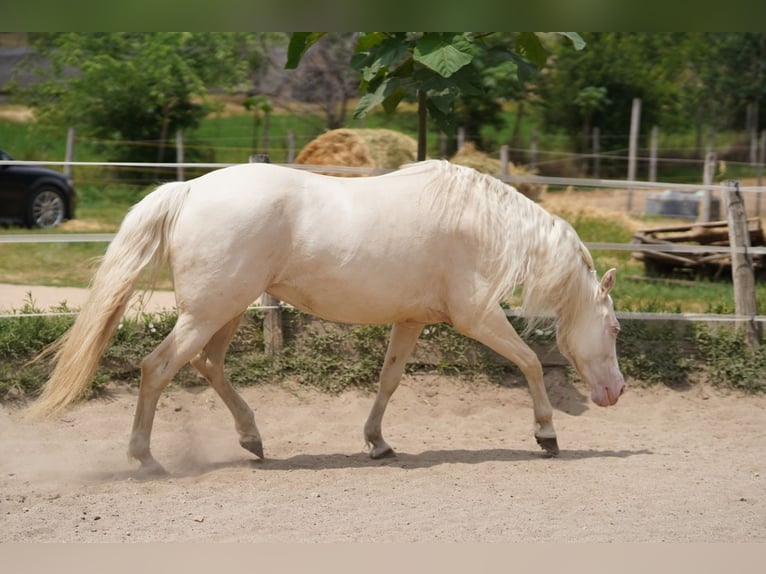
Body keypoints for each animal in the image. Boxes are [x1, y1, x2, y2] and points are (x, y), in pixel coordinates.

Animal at [27, 160, 625, 473]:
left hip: (226, 310)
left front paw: (378, 443)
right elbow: (530, 363)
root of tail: (189, 188)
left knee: (207, 365)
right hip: (209, 311)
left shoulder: (411, 320)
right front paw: (546, 435)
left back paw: (253, 441)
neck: (482, 224)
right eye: (616, 328)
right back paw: (146, 460)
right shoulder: (477, 317)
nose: (616, 392)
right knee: (158, 368)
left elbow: (389, 380)